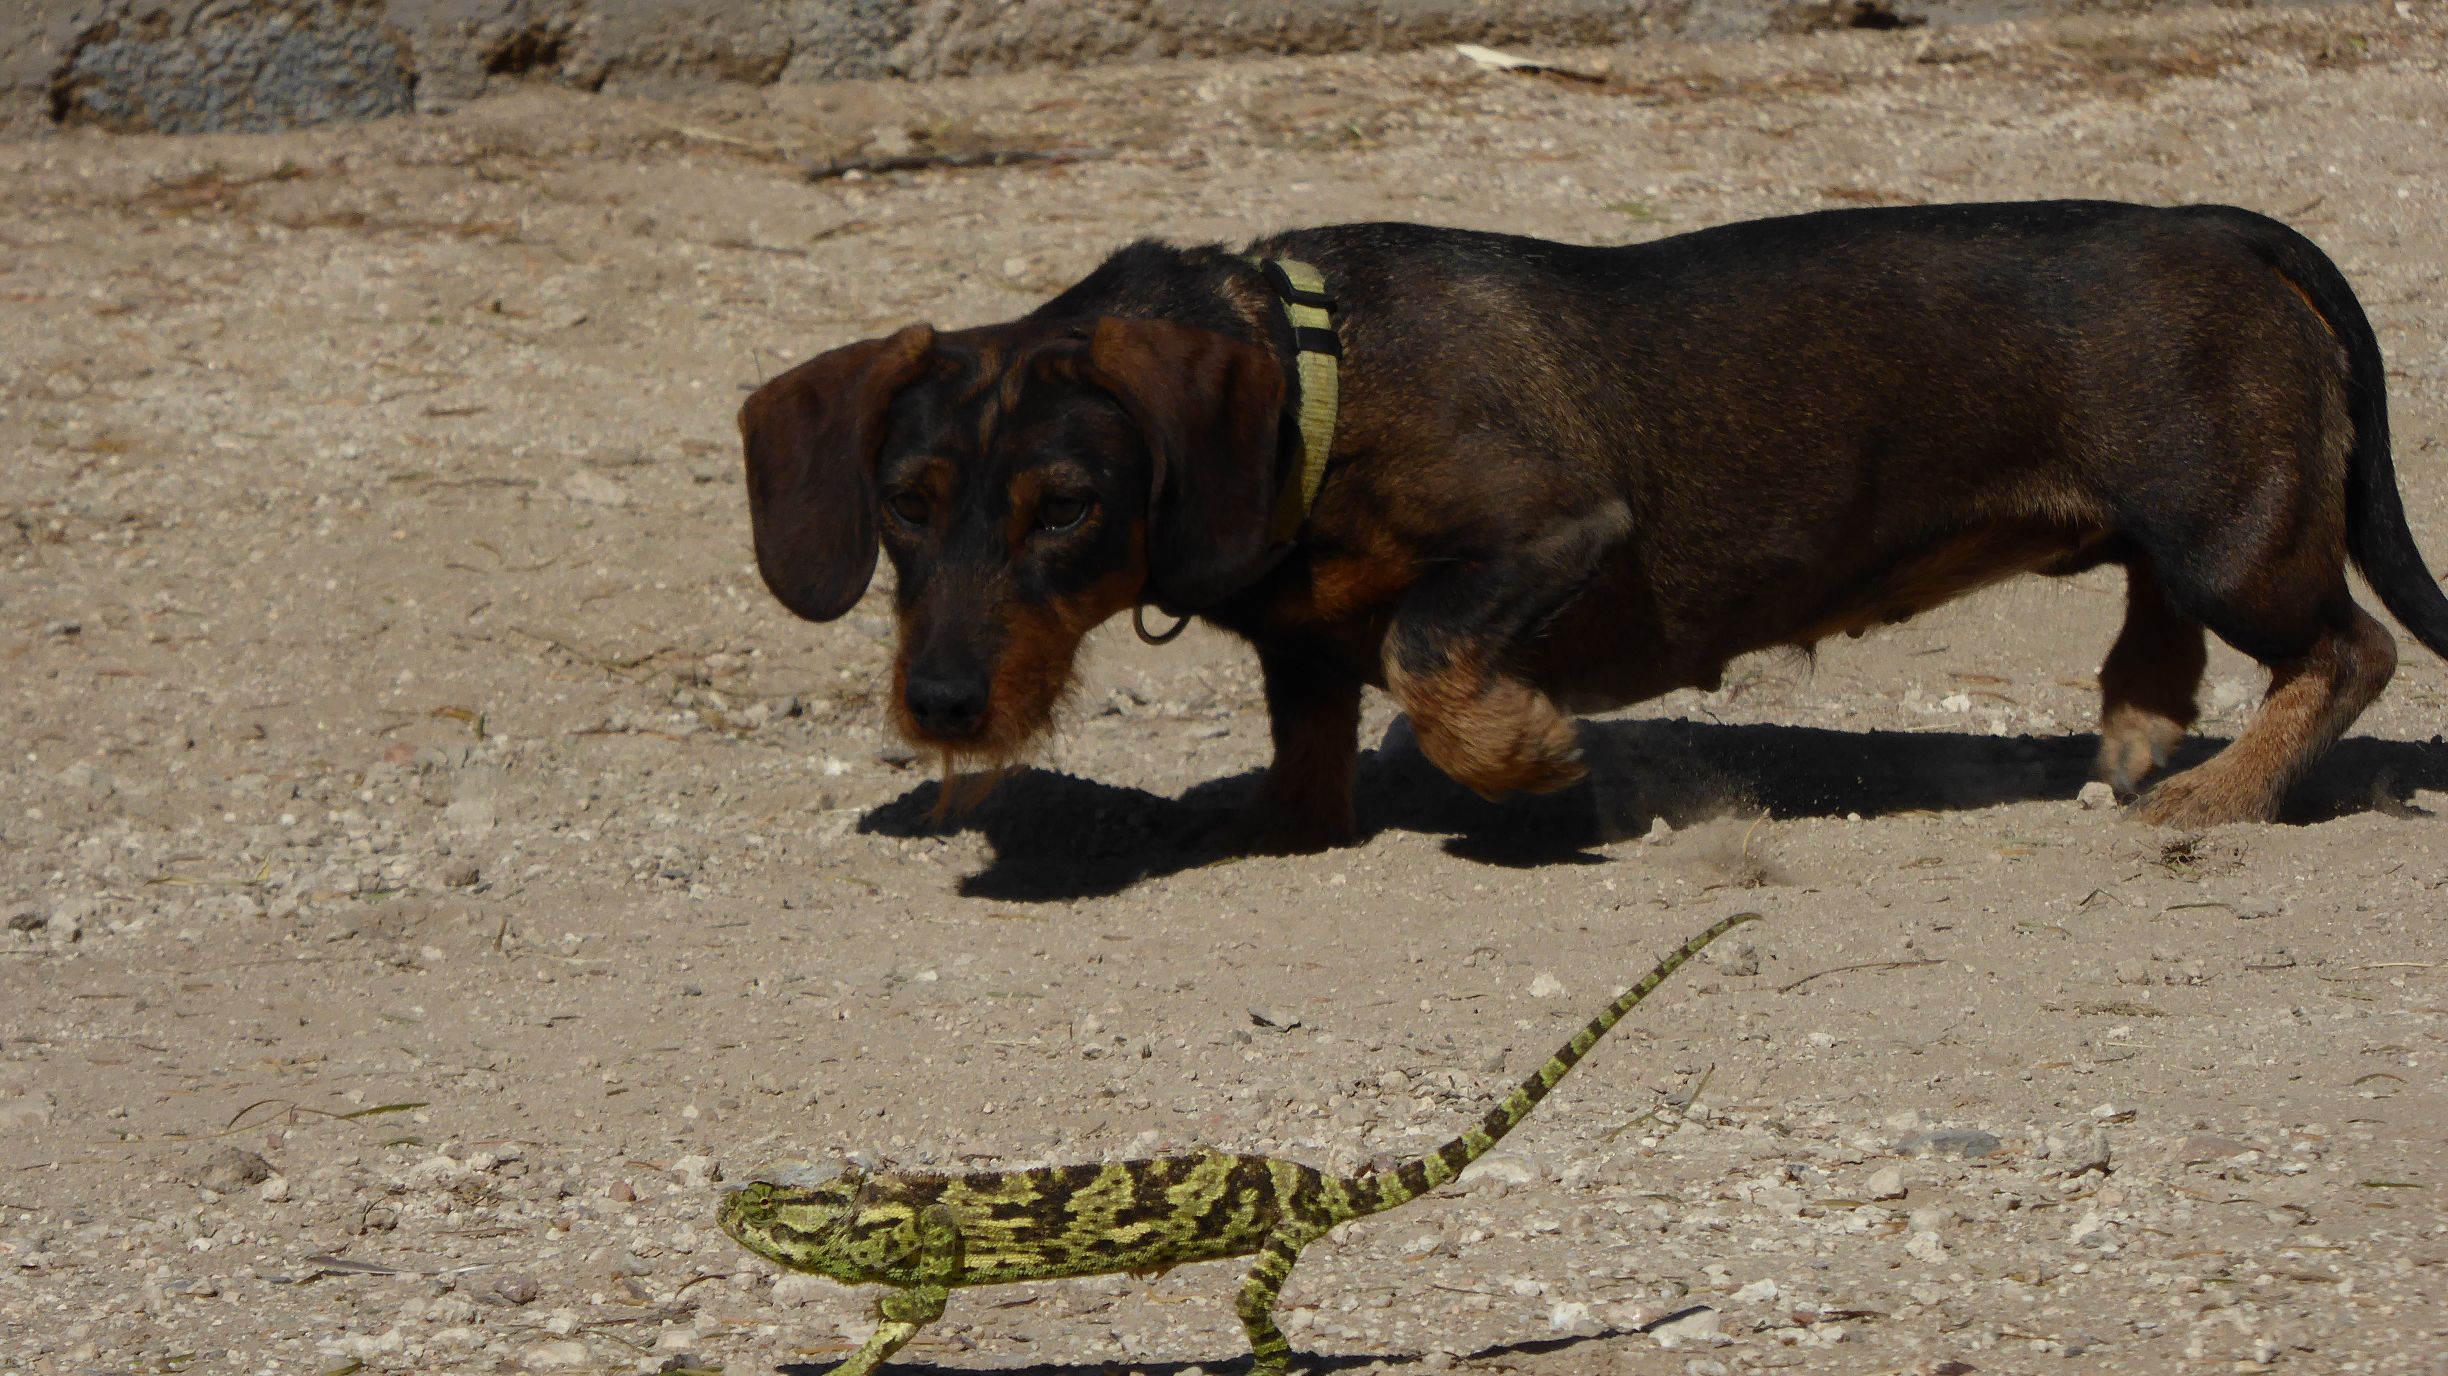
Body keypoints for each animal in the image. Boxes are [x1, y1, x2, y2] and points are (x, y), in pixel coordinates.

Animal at [739, 200, 2448, 847]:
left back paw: (2222, 793)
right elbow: (1312, 736)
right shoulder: (1297, 638)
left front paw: (1527, 756)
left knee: (2349, 653)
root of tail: (2218, 225)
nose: (940, 707)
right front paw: (1285, 822)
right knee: (2162, 621)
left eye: (1070, 510)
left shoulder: (1554, 535)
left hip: (2233, 534)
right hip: (2179, 524)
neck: (1313, 376)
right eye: (905, 505)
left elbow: (1429, 657)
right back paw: (2146, 729)